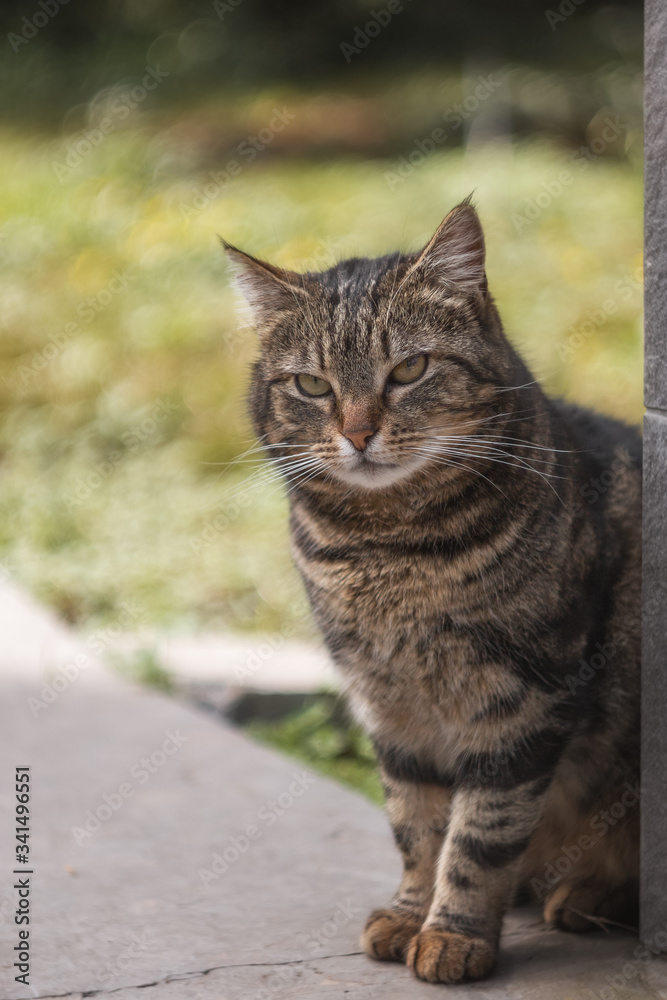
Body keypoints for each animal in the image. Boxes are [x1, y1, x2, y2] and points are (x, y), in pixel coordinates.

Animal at [224, 197, 640, 984]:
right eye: (312, 385)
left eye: (409, 369)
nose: (357, 433)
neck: (391, 551)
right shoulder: (390, 705)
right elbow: (416, 824)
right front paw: (410, 912)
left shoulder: (520, 702)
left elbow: (479, 835)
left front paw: (454, 935)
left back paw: (590, 894)